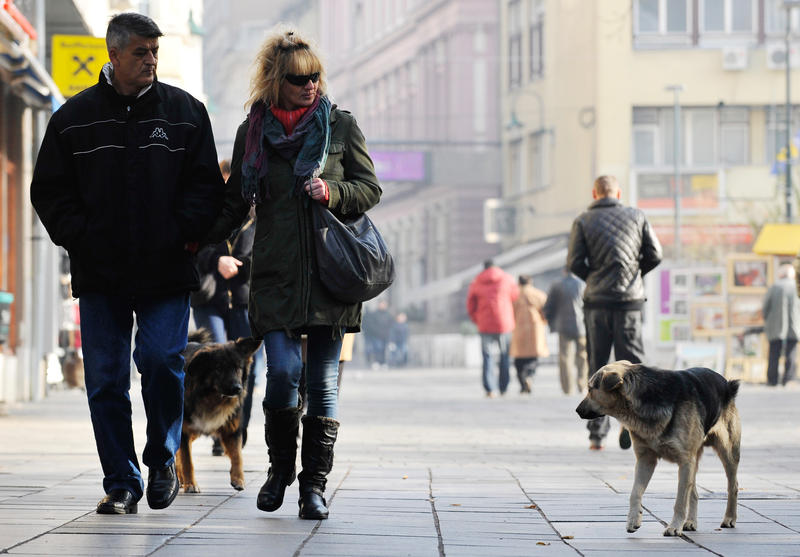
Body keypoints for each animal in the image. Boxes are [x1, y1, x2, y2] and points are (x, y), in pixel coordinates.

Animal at [177, 330, 260, 490]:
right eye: (219, 368)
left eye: (238, 367)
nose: (237, 389)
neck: (211, 396)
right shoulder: (183, 429)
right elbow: (187, 460)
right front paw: (191, 484)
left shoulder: (232, 428)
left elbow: (237, 455)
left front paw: (238, 479)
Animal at [576, 358, 736, 536]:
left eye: (590, 389)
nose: (577, 410)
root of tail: (725, 382)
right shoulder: (646, 460)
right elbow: (635, 492)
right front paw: (634, 519)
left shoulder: (685, 462)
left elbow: (680, 500)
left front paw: (674, 526)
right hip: (694, 460)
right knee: (693, 491)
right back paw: (690, 522)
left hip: (727, 452)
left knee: (733, 486)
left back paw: (729, 518)